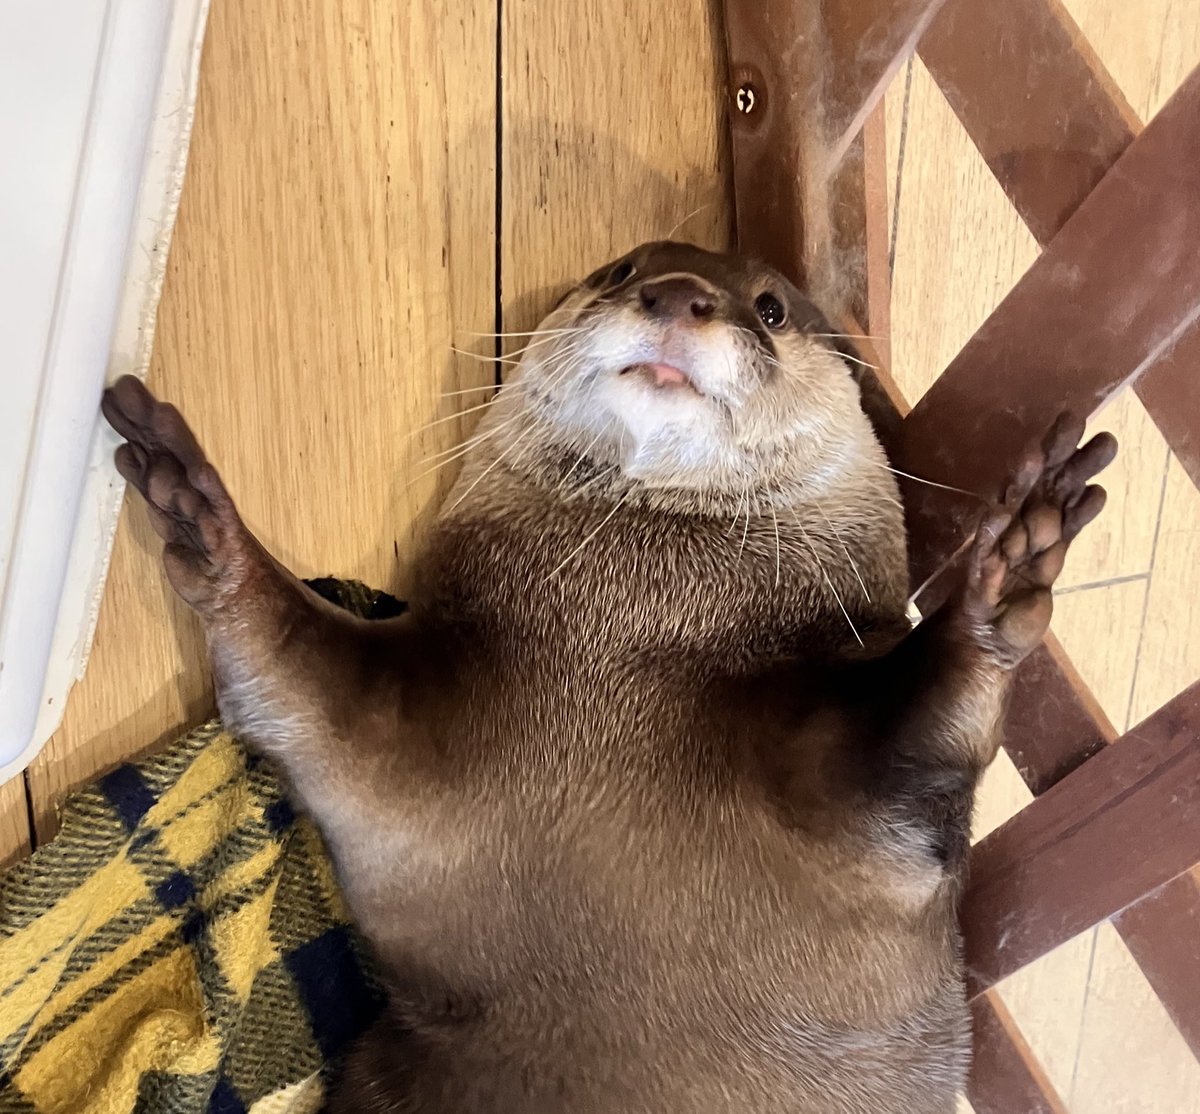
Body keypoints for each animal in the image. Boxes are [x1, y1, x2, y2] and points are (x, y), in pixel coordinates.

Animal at [102, 240, 1115, 1113]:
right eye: (622, 270)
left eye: (771, 308)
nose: (678, 293)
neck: (629, 627)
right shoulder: (390, 725)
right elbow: (288, 671)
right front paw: (197, 511)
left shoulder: (861, 787)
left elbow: (919, 727)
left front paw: (1010, 563)